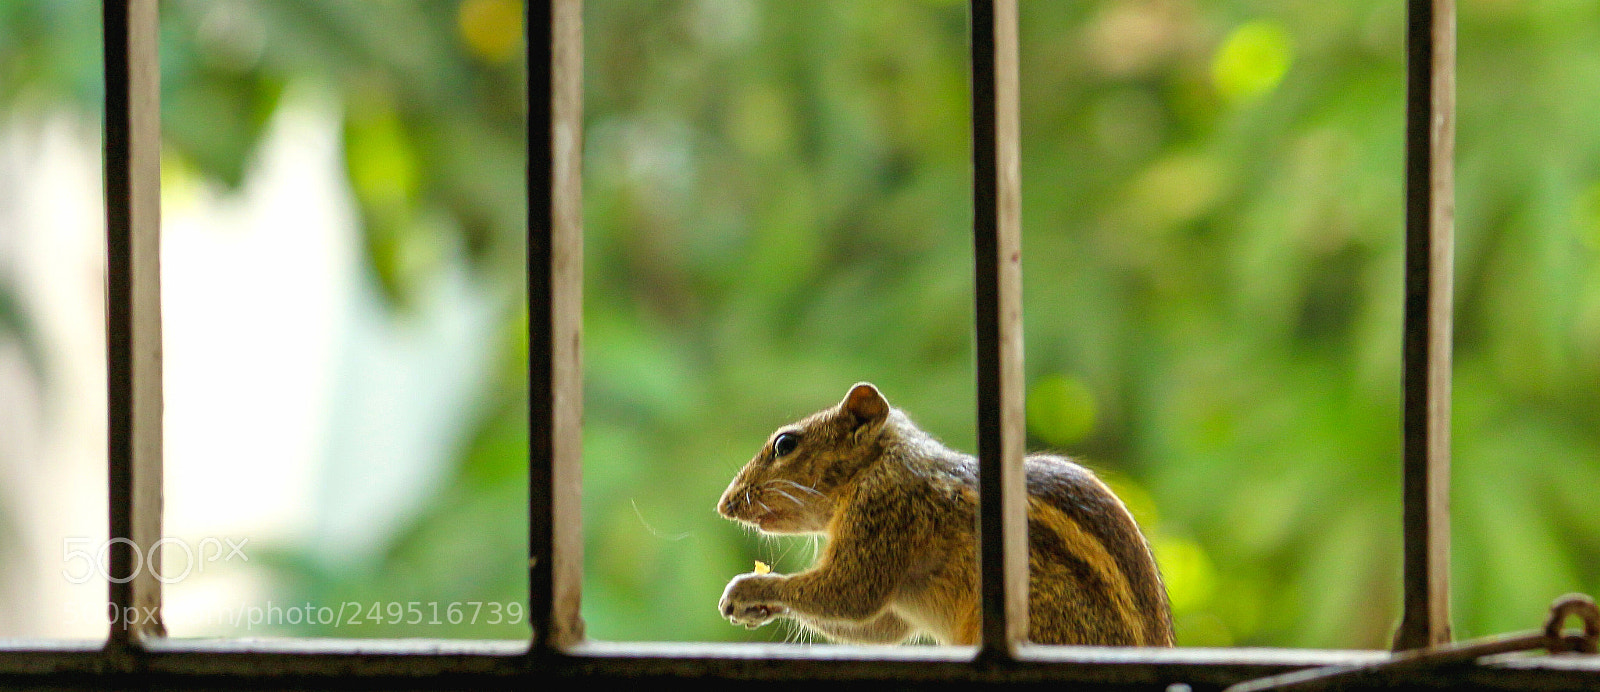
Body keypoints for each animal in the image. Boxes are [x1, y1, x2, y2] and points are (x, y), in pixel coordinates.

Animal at [716, 382, 1174, 647]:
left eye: (785, 444)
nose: (725, 504)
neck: (877, 463)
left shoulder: (887, 510)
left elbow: (851, 593)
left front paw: (749, 589)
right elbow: (880, 628)